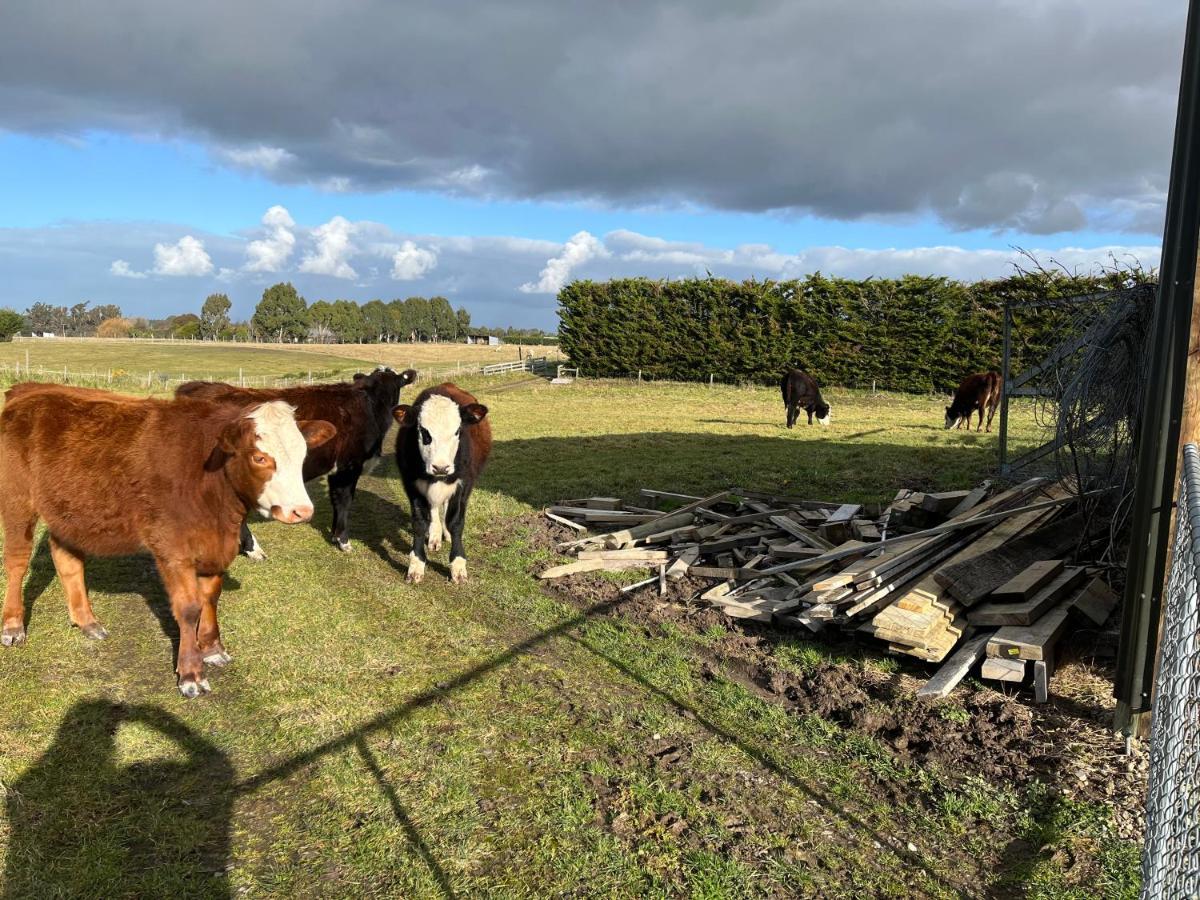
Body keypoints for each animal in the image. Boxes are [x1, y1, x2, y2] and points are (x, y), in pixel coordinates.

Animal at [0, 384, 336, 700]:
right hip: (17, 500)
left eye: (302, 456)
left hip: (68, 511)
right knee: (17, 562)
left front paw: (212, 648)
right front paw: (191, 674)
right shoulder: (172, 549)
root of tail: (30, 390)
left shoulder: (215, 546)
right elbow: (188, 607)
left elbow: (210, 598)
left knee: (66, 559)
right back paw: (13, 626)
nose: (302, 511)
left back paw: (87, 622)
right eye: (260, 457)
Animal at [175, 367, 415, 556]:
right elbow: (345, 500)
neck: (370, 405)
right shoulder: (350, 466)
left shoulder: (337, 469)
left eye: (395, 384)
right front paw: (344, 541)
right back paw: (253, 549)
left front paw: (335, 536)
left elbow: (336, 500)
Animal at [391, 384, 489, 588]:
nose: (441, 467)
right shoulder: (412, 485)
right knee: (435, 508)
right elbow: (420, 522)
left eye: (457, 431)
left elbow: (456, 522)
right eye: (423, 431)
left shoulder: (463, 485)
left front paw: (458, 566)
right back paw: (435, 536)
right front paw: (416, 565)